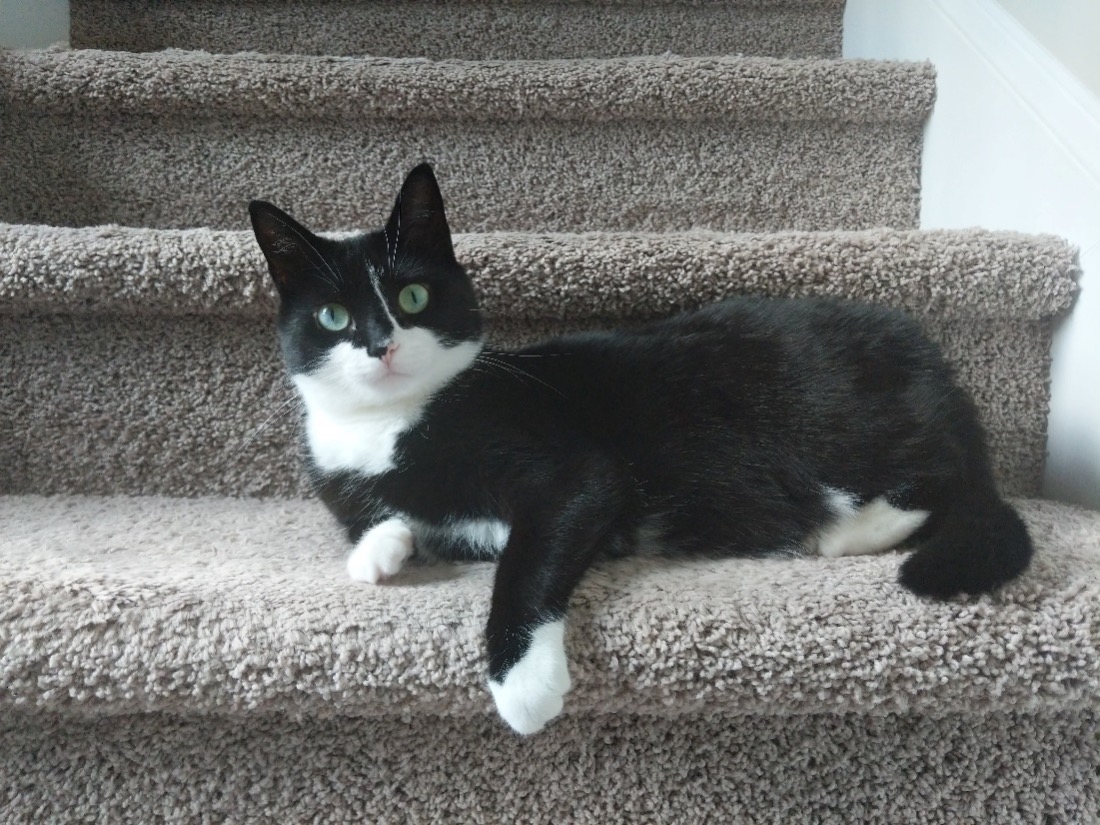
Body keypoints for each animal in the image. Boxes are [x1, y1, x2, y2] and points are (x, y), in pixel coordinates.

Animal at [247, 162, 1029, 734]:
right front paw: (376, 551)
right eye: (333, 316)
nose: (380, 346)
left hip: (830, 410)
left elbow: (526, 559)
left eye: (412, 298)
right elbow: (380, 519)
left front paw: (523, 682)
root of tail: (934, 365)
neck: (392, 427)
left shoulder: (575, 473)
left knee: (945, 478)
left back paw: (847, 527)